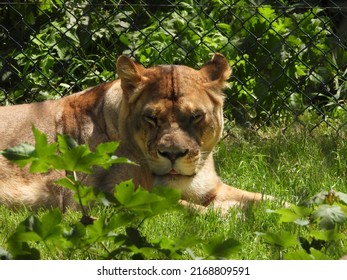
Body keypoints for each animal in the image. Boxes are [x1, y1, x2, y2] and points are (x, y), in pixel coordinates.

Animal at [0, 53, 268, 212]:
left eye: (195, 116)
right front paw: (231, 215)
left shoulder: (213, 189)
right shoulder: (94, 199)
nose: (173, 155)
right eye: (151, 117)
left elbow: (264, 197)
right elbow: (190, 208)